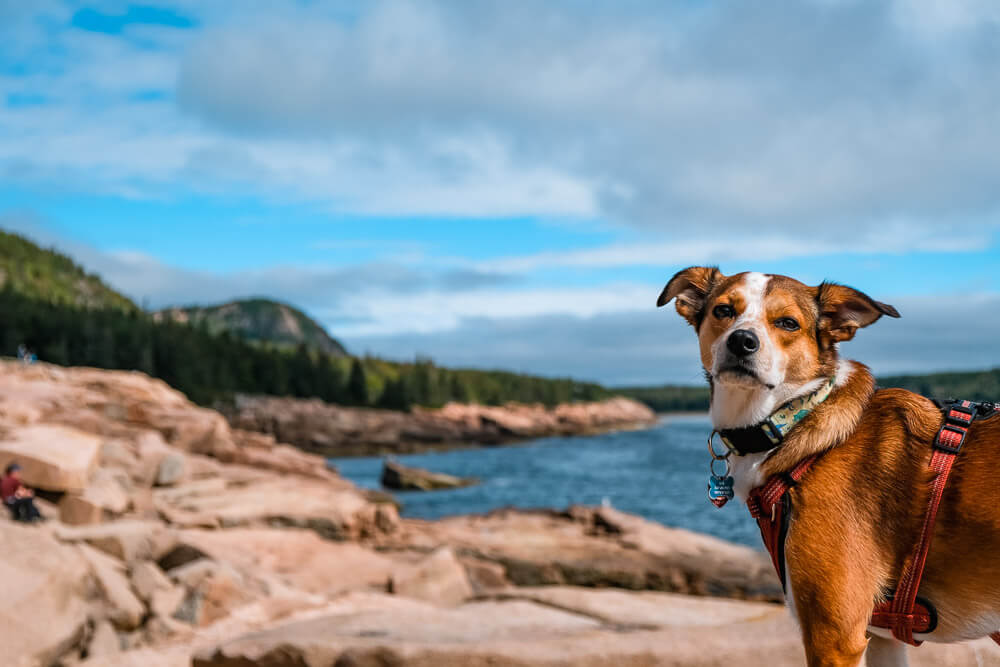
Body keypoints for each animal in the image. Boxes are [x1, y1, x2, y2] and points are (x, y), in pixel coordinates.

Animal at [656, 268, 1000, 667]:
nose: (741, 341)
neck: (796, 417)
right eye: (723, 311)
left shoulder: (834, 639)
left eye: (788, 323)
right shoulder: (882, 639)